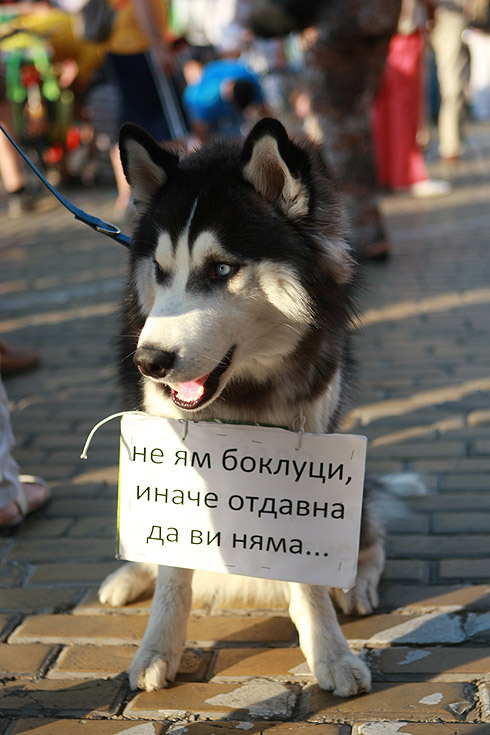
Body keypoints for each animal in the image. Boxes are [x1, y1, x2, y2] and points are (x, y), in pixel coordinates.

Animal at [98, 118, 390, 700]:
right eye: (159, 270)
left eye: (221, 269)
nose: (148, 361)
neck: (242, 394)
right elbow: (173, 574)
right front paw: (157, 651)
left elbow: (308, 574)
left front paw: (331, 653)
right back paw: (127, 575)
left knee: (373, 538)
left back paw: (356, 584)